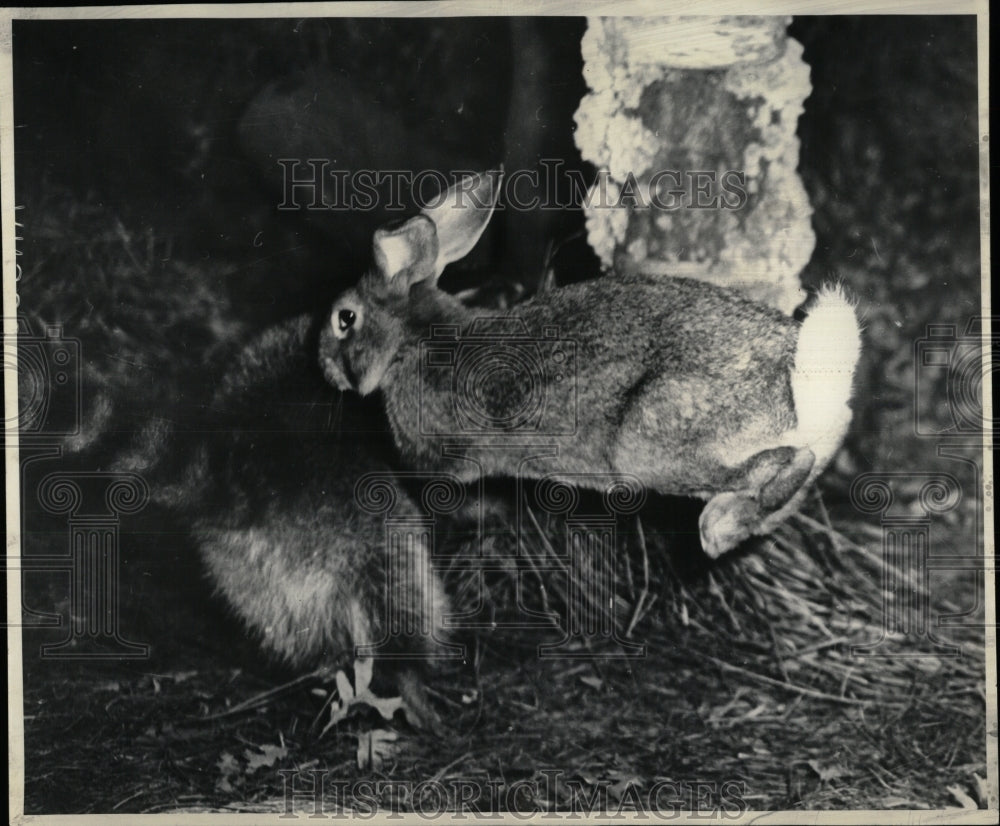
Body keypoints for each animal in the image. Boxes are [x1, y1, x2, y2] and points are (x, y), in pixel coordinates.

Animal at [318, 172, 860, 560]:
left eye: (345, 318)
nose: (322, 363)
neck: (411, 339)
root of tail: (806, 381)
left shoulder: (442, 459)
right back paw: (723, 527)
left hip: (650, 446)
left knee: (786, 461)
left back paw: (714, 528)